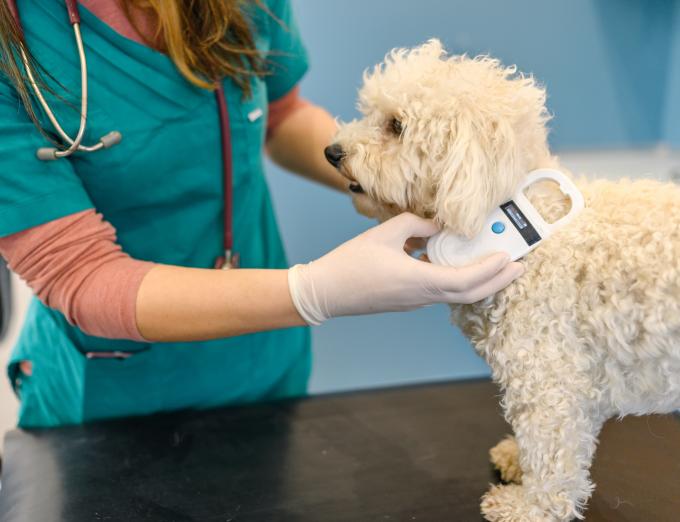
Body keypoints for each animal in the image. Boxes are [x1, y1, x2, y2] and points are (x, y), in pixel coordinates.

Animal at [322, 38, 680, 516]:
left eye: (396, 126)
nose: (332, 151)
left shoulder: (548, 371)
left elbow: (552, 450)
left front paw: (532, 507)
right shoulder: (582, 372)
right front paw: (517, 459)